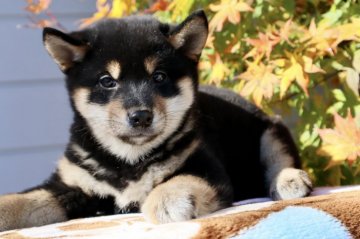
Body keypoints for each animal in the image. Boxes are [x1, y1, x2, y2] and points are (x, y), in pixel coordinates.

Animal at [0, 10, 310, 231]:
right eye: (107, 81)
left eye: (159, 77)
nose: (140, 116)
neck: (127, 161)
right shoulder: (70, 185)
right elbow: (25, 199)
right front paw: (5, 209)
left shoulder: (207, 167)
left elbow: (181, 178)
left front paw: (167, 199)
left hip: (271, 130)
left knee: (278, 158)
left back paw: (289, 179)